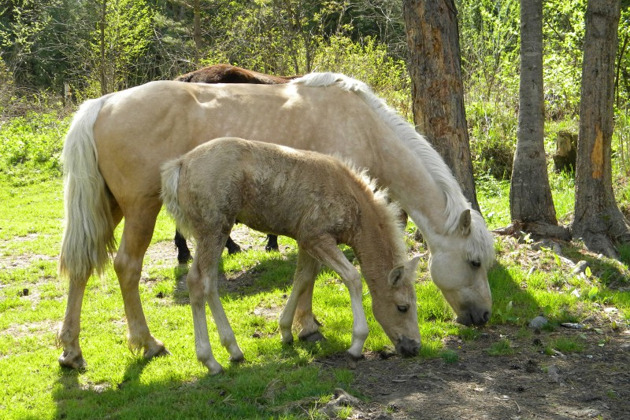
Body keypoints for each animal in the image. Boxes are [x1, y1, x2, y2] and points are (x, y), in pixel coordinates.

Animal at [160, 138, 422, 374]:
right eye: (402, 307)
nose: (415, 348)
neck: (352, 202)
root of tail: (180, 164)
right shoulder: (317, 238)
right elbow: (353, 278)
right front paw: (356, 343)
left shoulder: (306, 241)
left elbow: (302, 279)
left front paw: (286, 331)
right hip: (212, 229)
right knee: (198, 282)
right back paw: (210, 361)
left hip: (216, 232)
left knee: (208, 283)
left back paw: (234, 350)